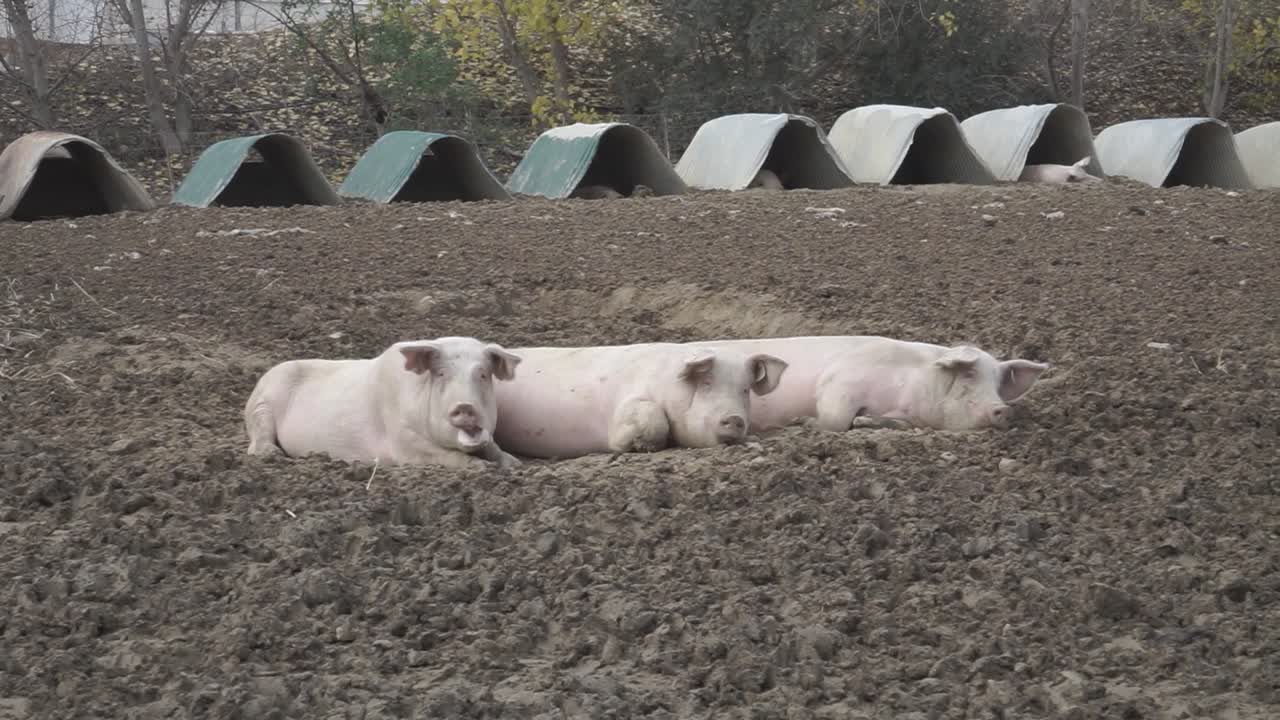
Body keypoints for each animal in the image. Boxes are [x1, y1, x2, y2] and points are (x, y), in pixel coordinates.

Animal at [244, 336, 523, 469]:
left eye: (483, 374)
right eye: (442, 374)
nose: (465, 406)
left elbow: (494, 448)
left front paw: (515, 465)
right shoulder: (402, 440)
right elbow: (445, 455)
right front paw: (481, 468)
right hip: (262, 406)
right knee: (255, 445)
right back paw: (273, 455)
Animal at [493, 343, 789, 459]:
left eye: (745, 390)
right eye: (706, 384)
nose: (734, 418)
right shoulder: (627, 405)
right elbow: (651, 417)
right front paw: (641, 447)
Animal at [686, 336, 1050, 432]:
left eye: (998, 383)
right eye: (970, 375)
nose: (1002, 409)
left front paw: (866, 421)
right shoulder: (840, 380)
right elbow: (833, 418)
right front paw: (803, 422)